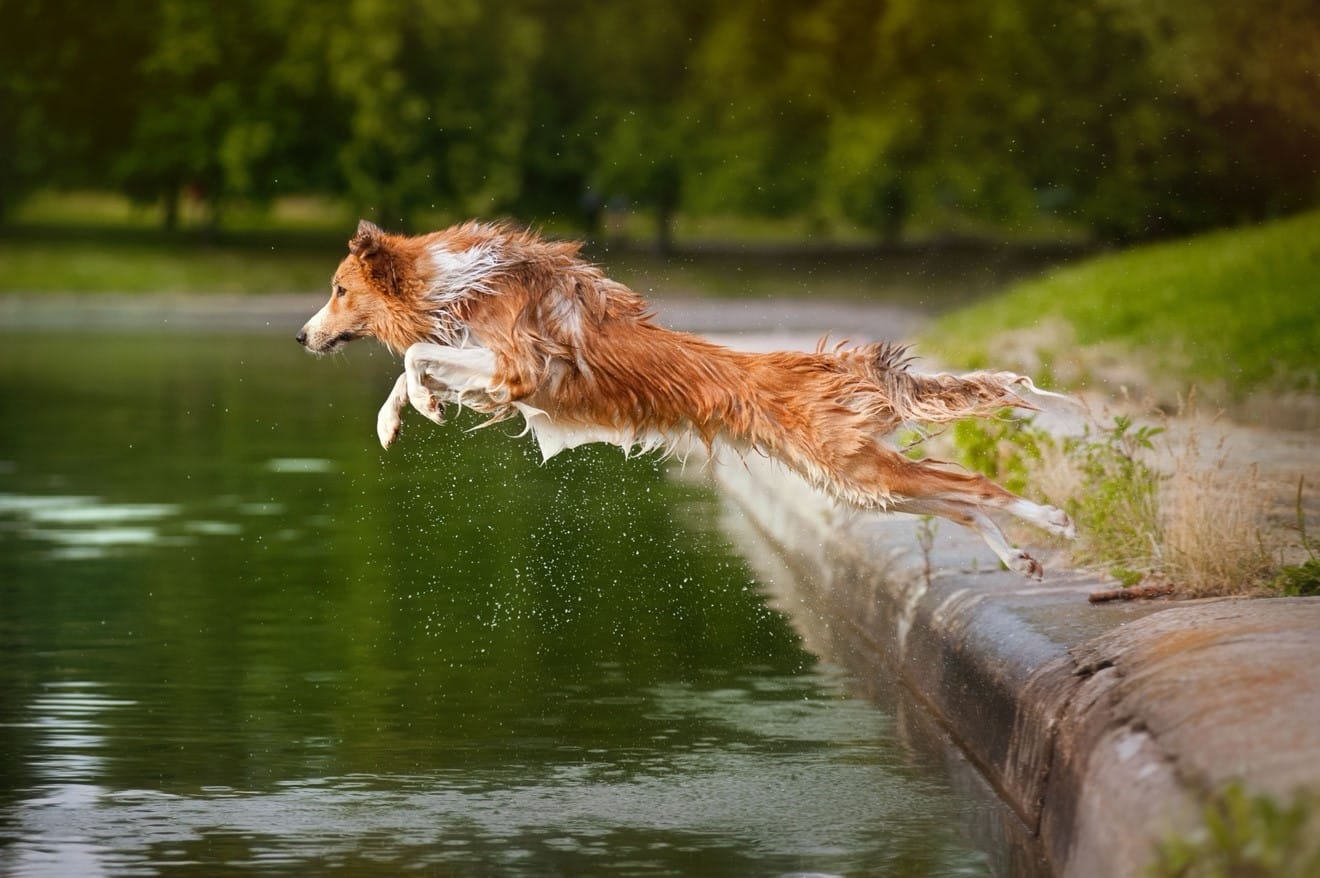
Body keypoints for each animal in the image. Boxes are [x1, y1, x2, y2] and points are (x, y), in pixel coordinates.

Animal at [297, 219, 1071, 575]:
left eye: (338, 290)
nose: (302, 337)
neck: (459, 286)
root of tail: (836, 363)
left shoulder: (515, 370)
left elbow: (418, 355)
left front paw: (419, 404)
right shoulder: (495, 376)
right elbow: (413, 366)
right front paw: (401, 416)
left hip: (856, 471)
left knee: (975, 486)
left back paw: (1053, 522)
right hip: (855, 483)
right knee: (958, 498)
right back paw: (1020, 559)